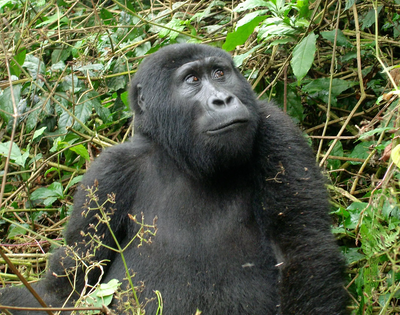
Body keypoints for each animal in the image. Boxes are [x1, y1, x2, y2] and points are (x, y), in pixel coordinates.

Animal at [0, 43, 346, 314]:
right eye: (192, 80)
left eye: (220, 74)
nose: (223, 99)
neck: (181, 160)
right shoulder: (107, 174)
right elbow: (69, 285)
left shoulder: (278, 130)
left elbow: (302, 252)